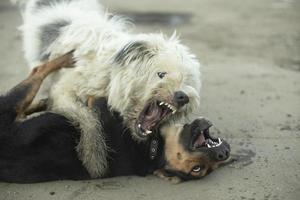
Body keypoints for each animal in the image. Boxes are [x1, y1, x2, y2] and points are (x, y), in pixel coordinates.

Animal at [0, 53, 230, 183]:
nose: (224, 153)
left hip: (12, 105)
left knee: (37, 72)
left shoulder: (96, 106)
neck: (154, 150)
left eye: (197, 169)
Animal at [14, 0, 202, 178]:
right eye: (161, 74)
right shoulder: (63, 92)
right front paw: (94, 158)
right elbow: (88, 118)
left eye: (187, 81)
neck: (110, 76)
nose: (182, 97)